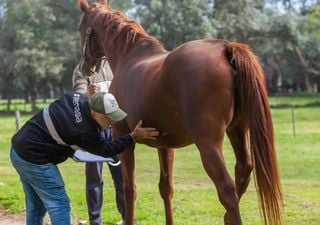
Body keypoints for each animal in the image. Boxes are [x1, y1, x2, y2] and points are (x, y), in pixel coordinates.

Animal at [77, 0, 282, 225]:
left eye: (80, 27)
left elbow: (129, 188)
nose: (85, 67)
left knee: (227, 190)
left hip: (208, 143)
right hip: (237, 129)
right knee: (242, 172)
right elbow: (166, 188)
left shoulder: (123, 136)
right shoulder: (165, 145)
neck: (130, 57)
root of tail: (225, 47)